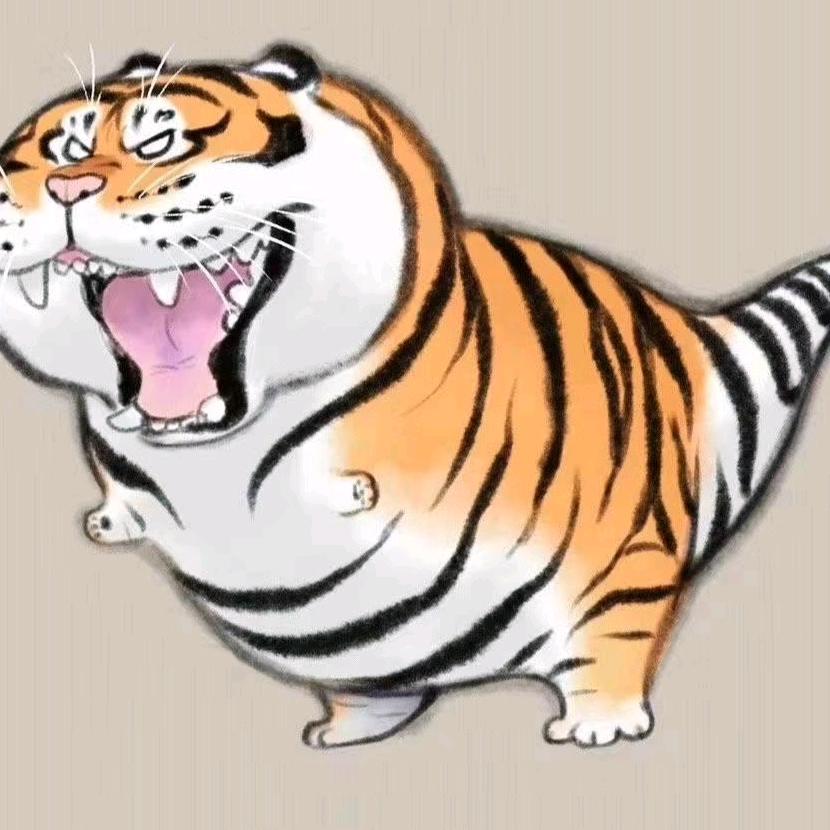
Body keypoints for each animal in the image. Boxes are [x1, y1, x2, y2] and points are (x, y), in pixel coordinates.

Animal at [0, 42, 826, 750]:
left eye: (161, 143)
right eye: (62, 152)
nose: (68, 187)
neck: (217, 457)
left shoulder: (617, 549)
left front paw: (602, 727)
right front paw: (113, 519)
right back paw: (349, 727)